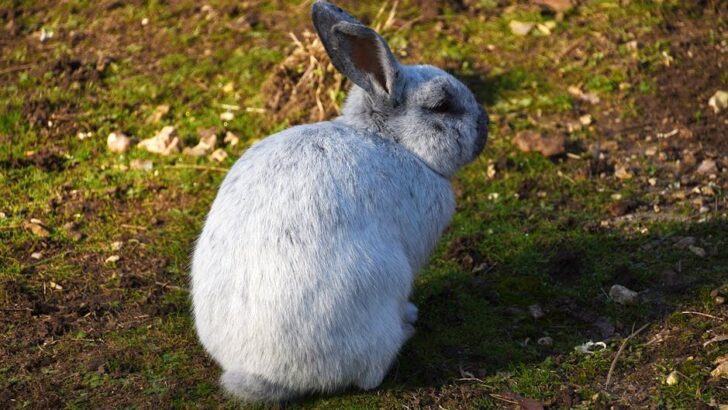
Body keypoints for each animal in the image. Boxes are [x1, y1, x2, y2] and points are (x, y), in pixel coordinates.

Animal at [190, 0, 488, 402]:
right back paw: (406, 327)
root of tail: (263, 374)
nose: (485, 127)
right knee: (370, 375)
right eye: (442, 106)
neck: (392, 141)